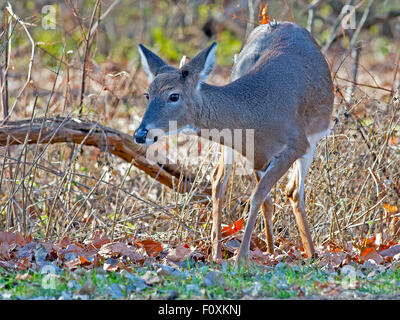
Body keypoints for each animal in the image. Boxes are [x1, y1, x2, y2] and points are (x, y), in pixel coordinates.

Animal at [134, 20, 334, 264]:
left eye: (174, 95)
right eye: (147, 94)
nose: (140, 134)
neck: (254, 113)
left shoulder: (297, 143)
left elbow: (259, 194)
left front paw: (241, 257)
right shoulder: (255, 152)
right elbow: (253, 192)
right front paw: (233, 256)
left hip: (311, 138)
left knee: (290, 192)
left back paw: (304, 252)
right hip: (234, 147)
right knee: (225, 182)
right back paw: (264, 250)